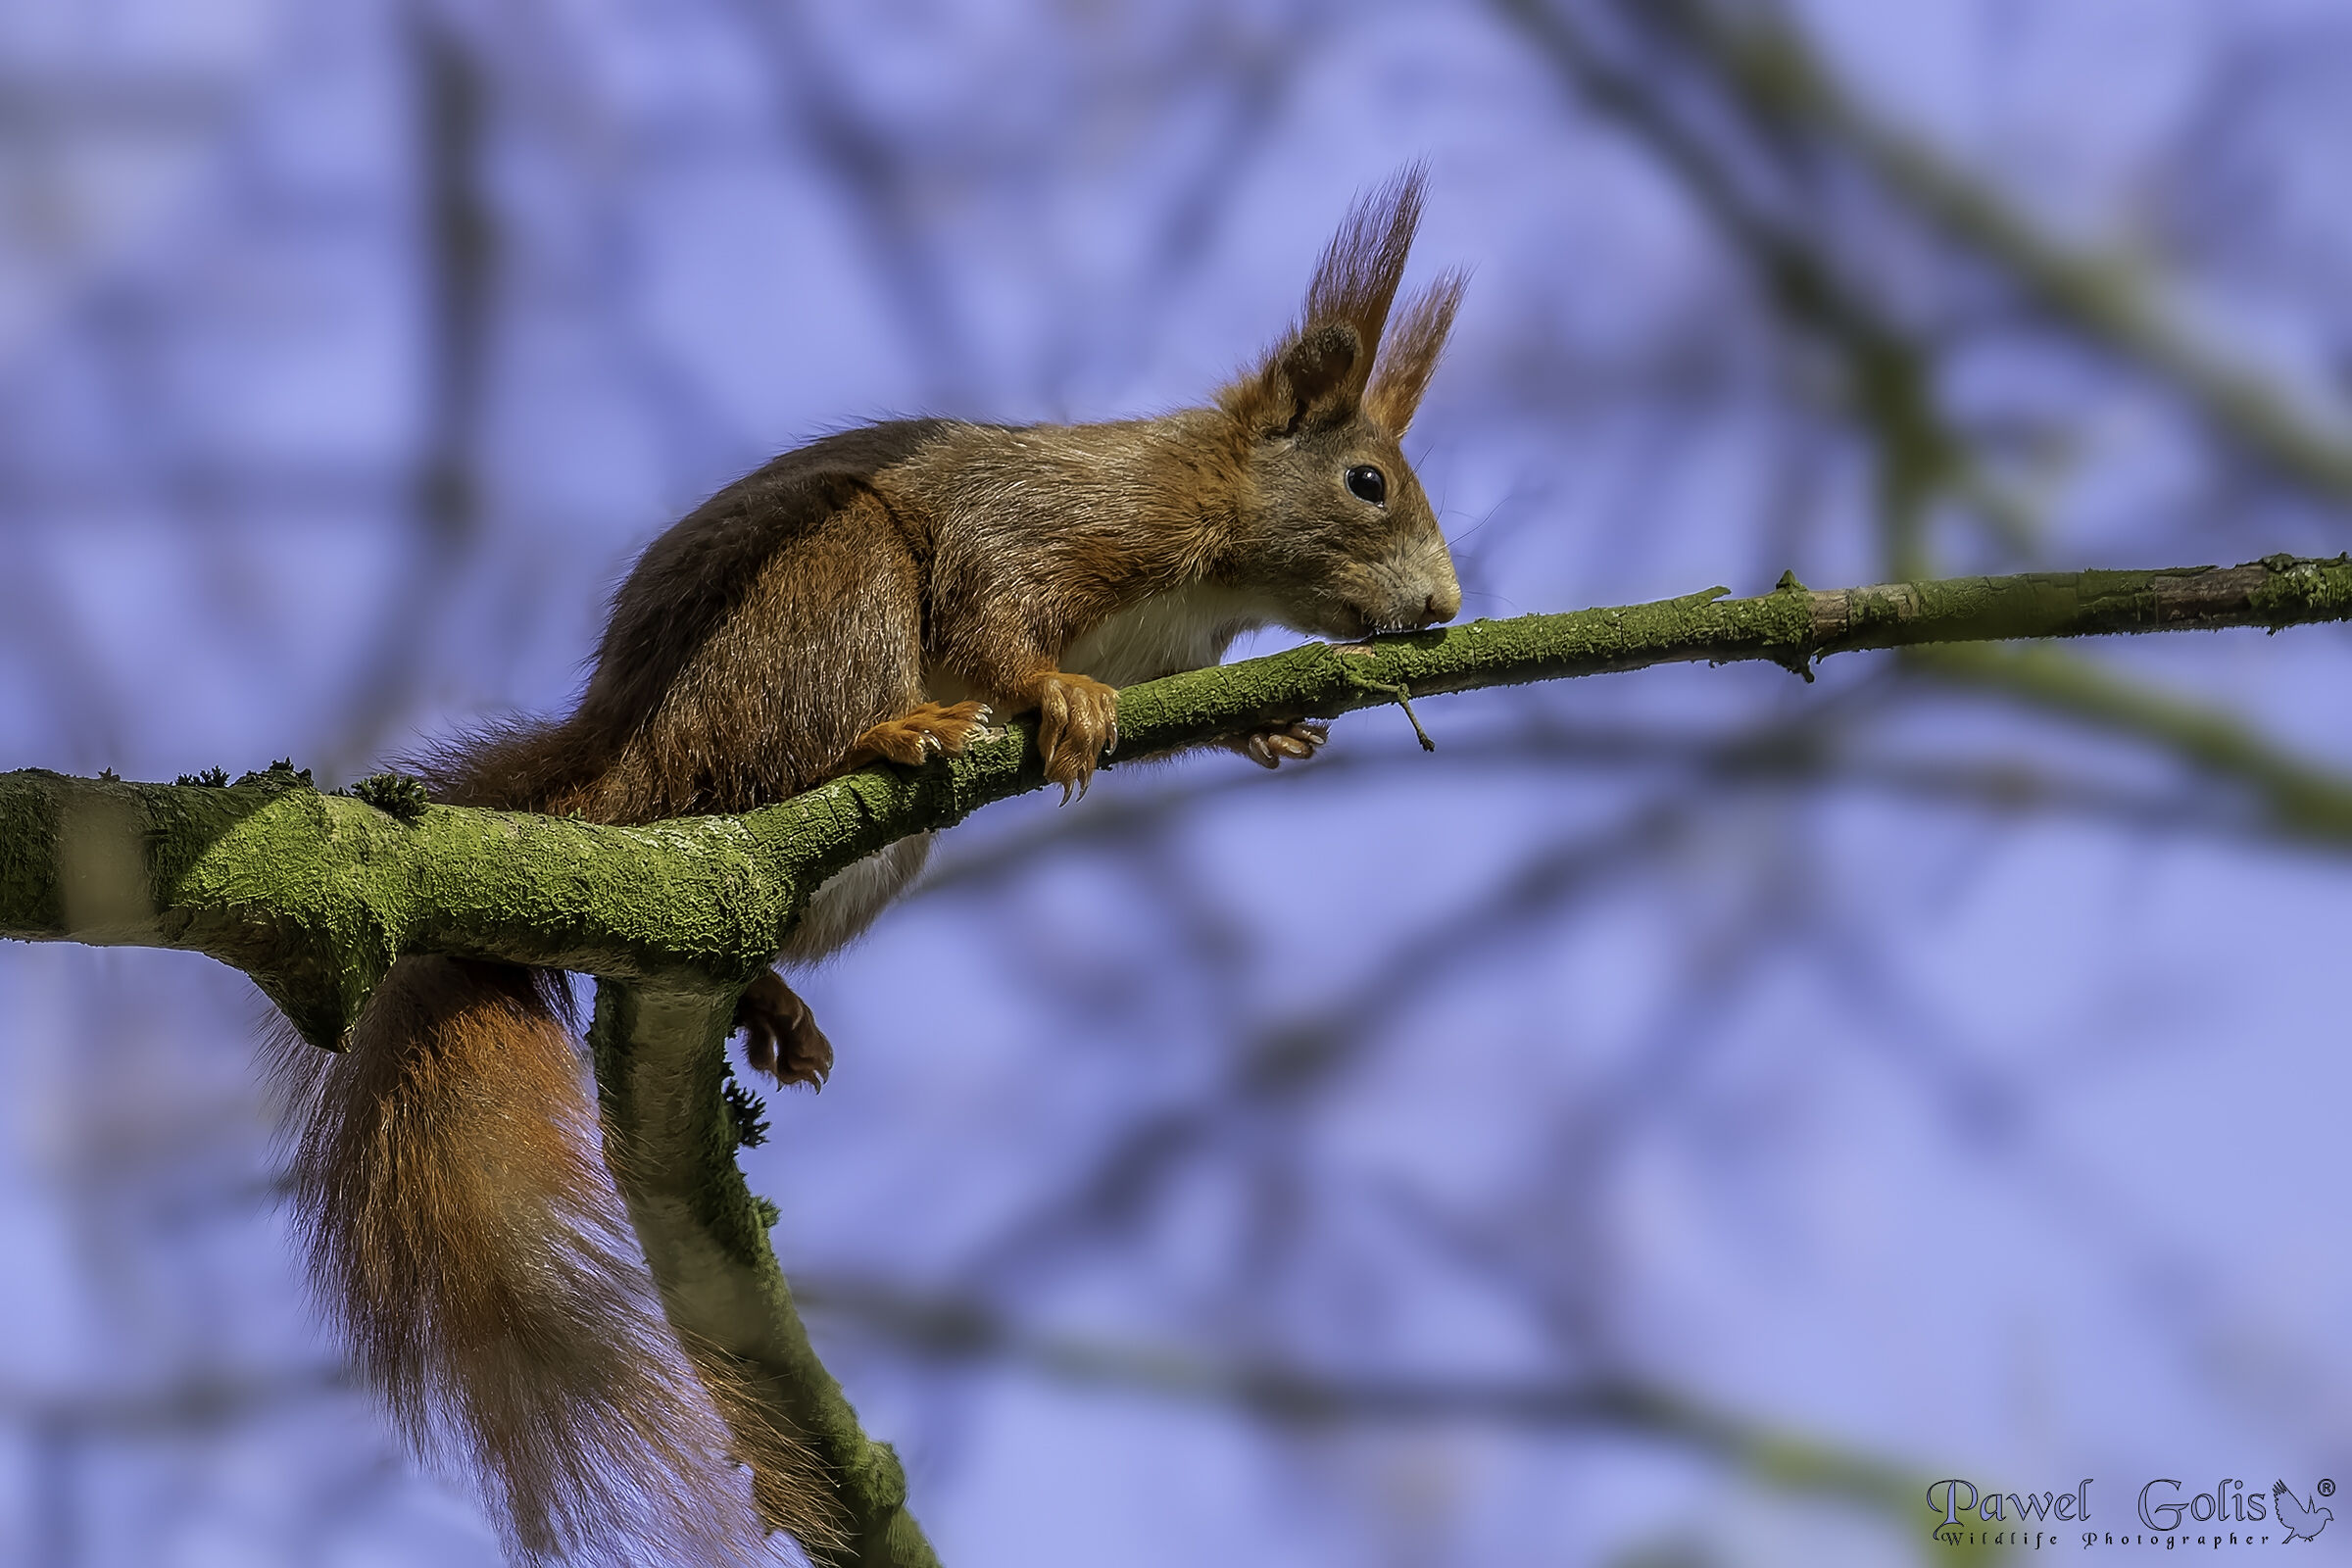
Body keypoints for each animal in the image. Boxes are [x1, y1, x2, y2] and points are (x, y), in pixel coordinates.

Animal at [265, 168, 1464, 1565]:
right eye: (1367, 482)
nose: (1444, 607)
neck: (1212, 550)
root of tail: (618, 772)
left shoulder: (1173, 652)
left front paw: (1262, 725)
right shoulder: (1059, 523)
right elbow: (994, 607)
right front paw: (1055, 693)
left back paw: (772, 996)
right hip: (829, 591)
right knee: (791, 740)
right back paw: (885, 735)